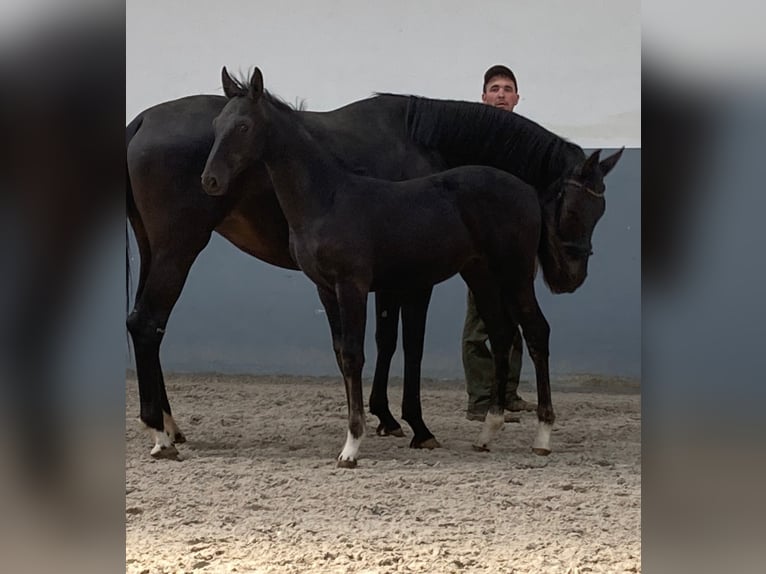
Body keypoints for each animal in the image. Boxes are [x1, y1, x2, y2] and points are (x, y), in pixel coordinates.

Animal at [127, 71, 624, 464]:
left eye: (598, 210)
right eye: (575, 207)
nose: (571, 277)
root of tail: (140, 122)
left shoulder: (381, 281)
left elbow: (383, 345)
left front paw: (388, 423)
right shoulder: (386, 283)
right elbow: (391, 346)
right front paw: (403, 425)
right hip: (177, 247)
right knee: (147, 323)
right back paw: (161, 433)